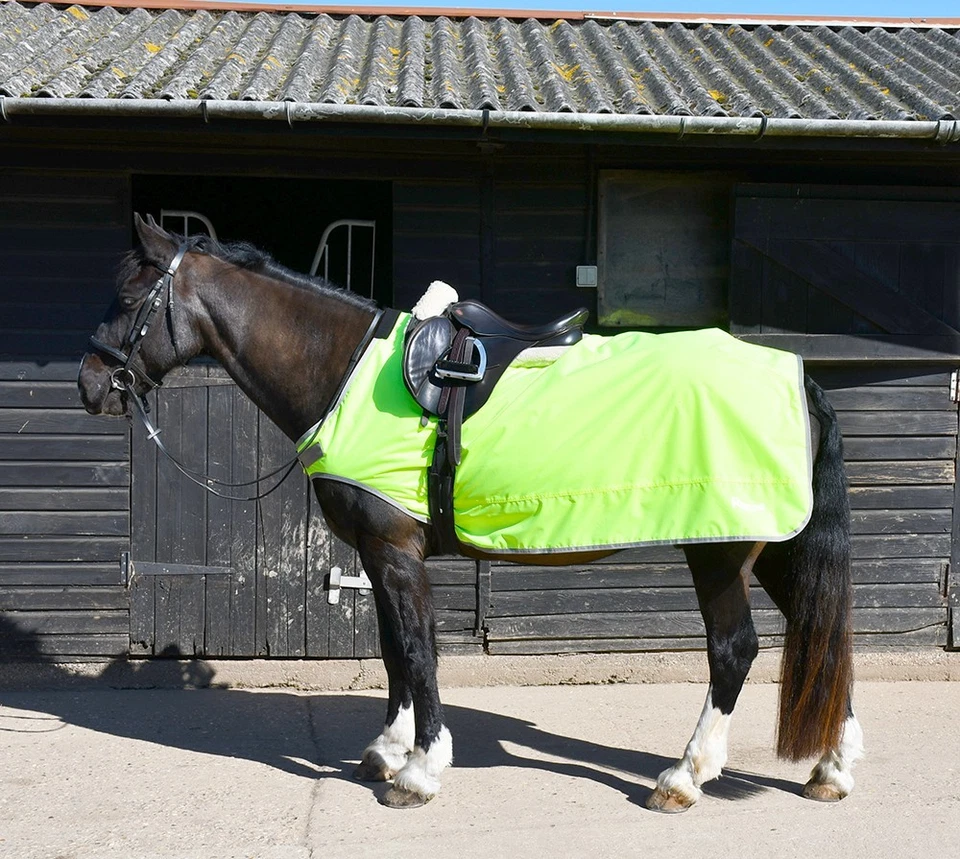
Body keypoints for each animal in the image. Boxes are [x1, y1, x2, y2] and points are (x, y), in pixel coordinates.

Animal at [78, 214, 863, 812]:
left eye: (130, 294)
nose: (89, 384)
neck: (343, 370)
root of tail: (797, 377)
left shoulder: (396, 552)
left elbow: (418, 650)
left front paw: (419, 772)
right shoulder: (378, 555)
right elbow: (393, 650)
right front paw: (388, 751)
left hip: (720, 551)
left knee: (735, 650)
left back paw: (684, 777)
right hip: (778, 545)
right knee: (821, 629)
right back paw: (832, 768)